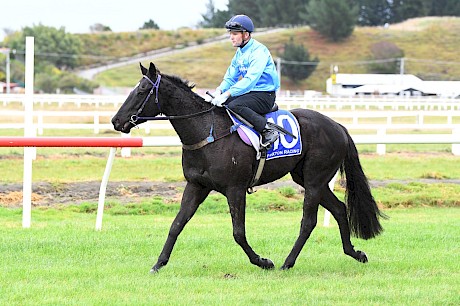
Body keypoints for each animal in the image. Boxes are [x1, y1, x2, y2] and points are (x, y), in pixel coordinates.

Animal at [113, 62, 386, 272]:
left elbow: (238, 233)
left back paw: (287, 262)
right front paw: (158, 264)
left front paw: (263, 261)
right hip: (307, 178)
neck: (208, 133)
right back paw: (355, 253)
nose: (116, 121)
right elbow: (176, 225)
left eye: (142, 91)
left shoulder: (235, 189)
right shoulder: (196, 186)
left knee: (308, 221)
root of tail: (338, 126)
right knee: (340, 209)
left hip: (314, 180)